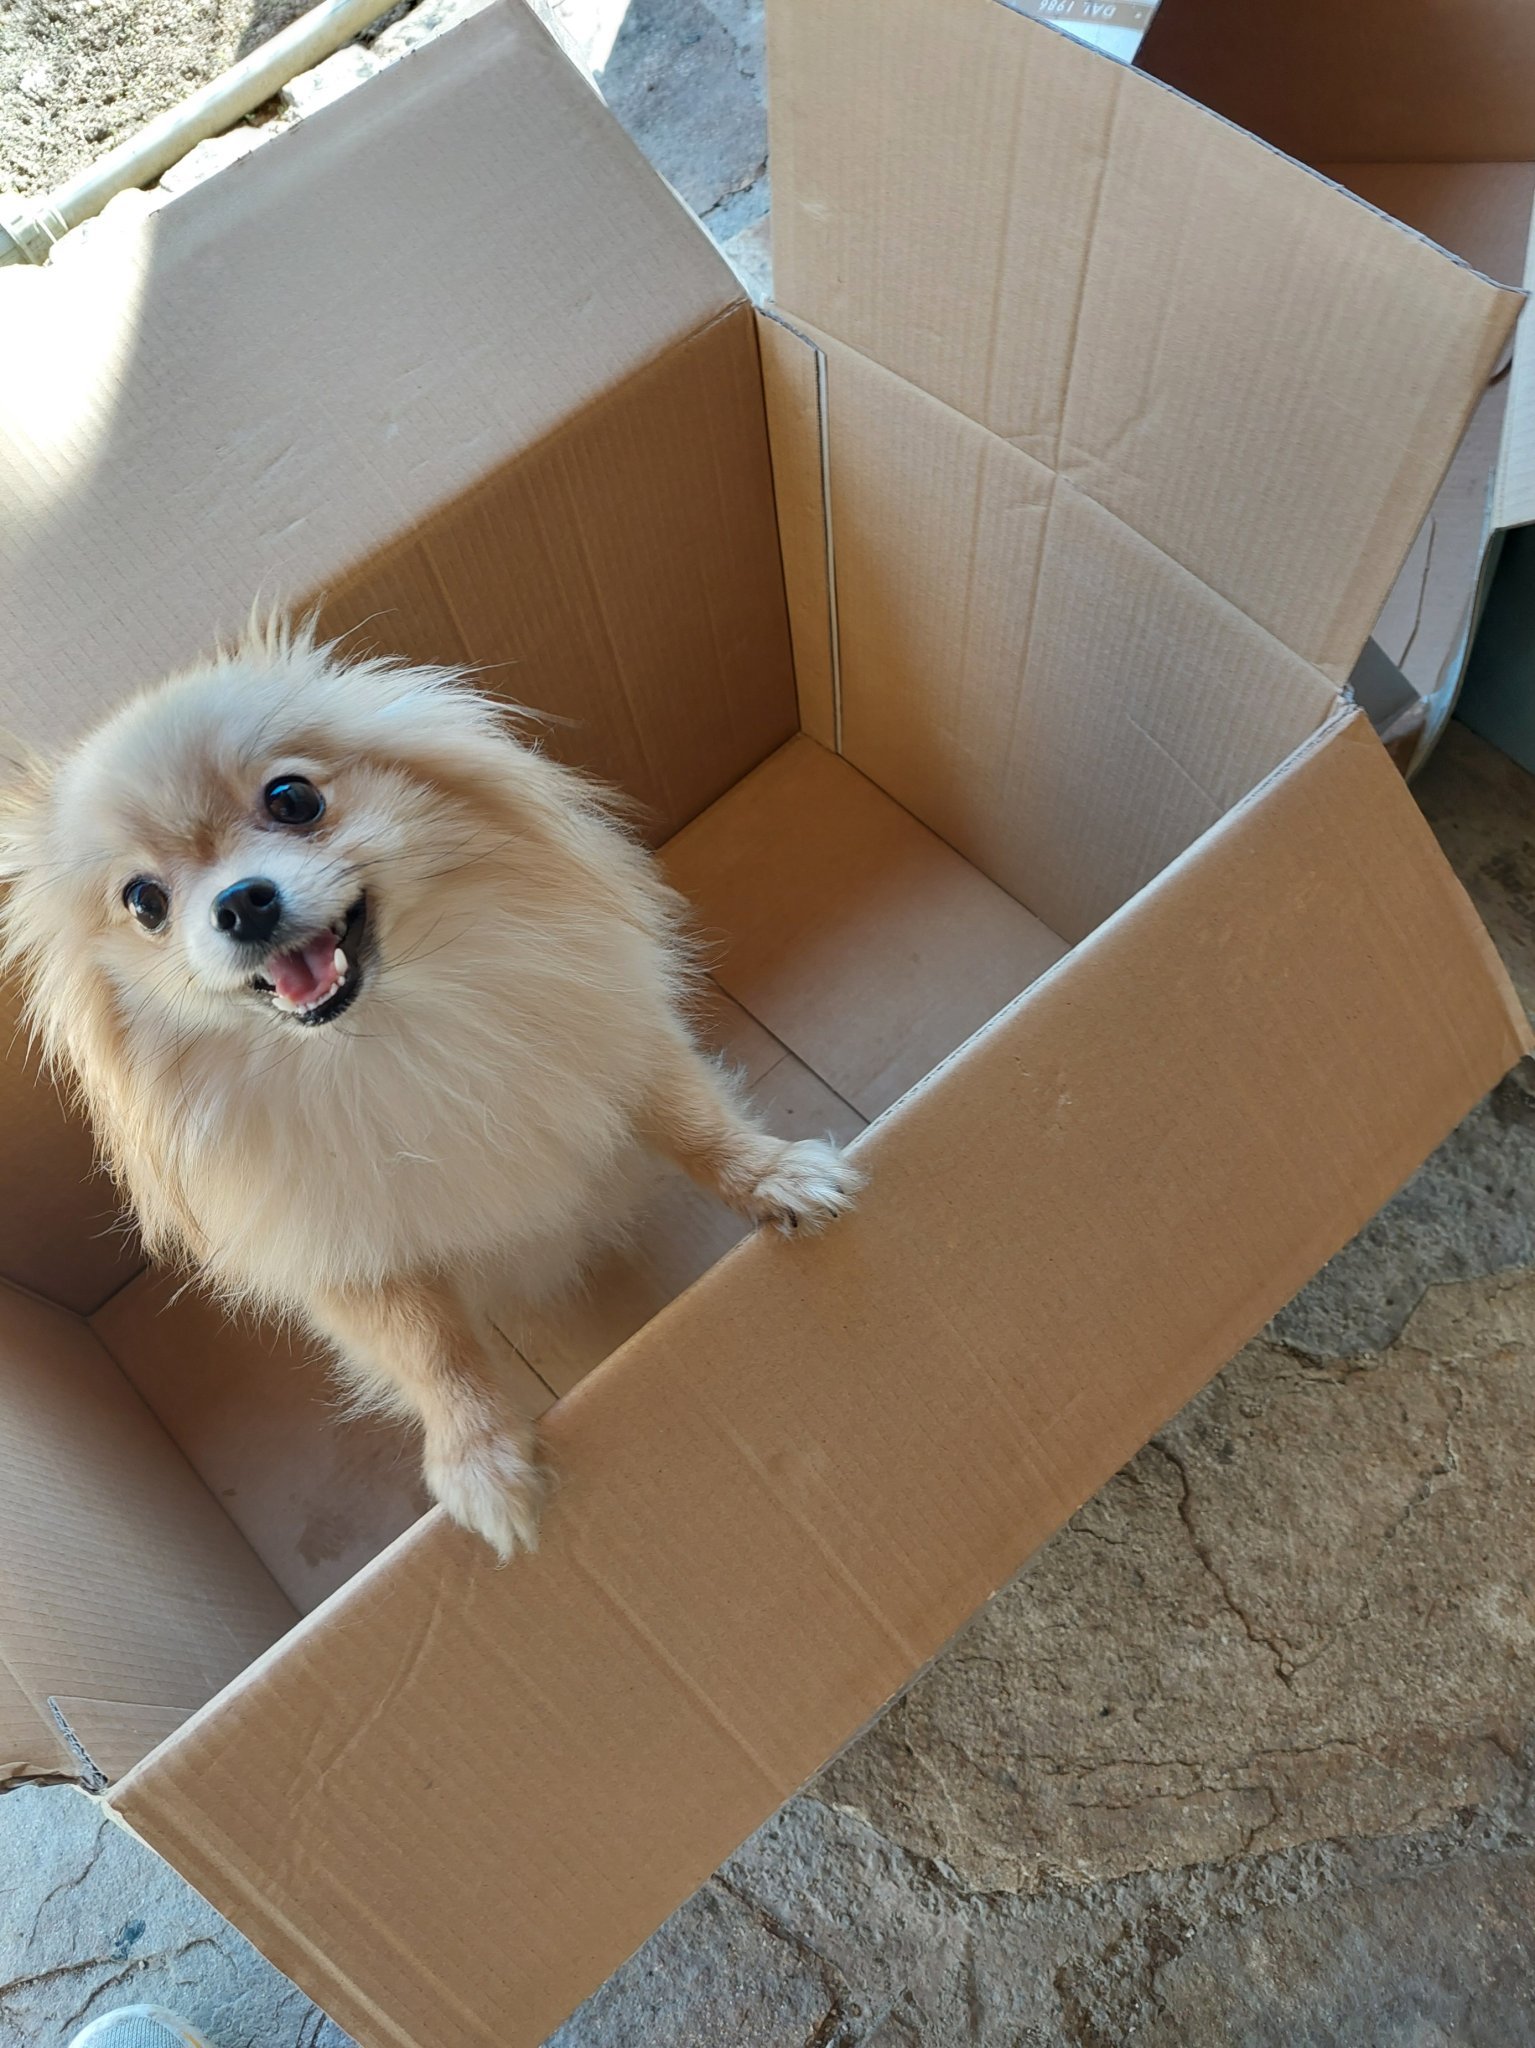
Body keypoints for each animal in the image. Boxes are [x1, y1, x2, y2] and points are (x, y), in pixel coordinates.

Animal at [0, 619, 858, 1558]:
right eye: (144, 900)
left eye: (292, 799)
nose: (240, 903)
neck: (387, 1042)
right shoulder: (351, 1251)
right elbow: (428, 1346)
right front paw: (479, 1458)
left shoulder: (610, 1046)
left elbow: (695, 1126)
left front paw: (775, 1176)